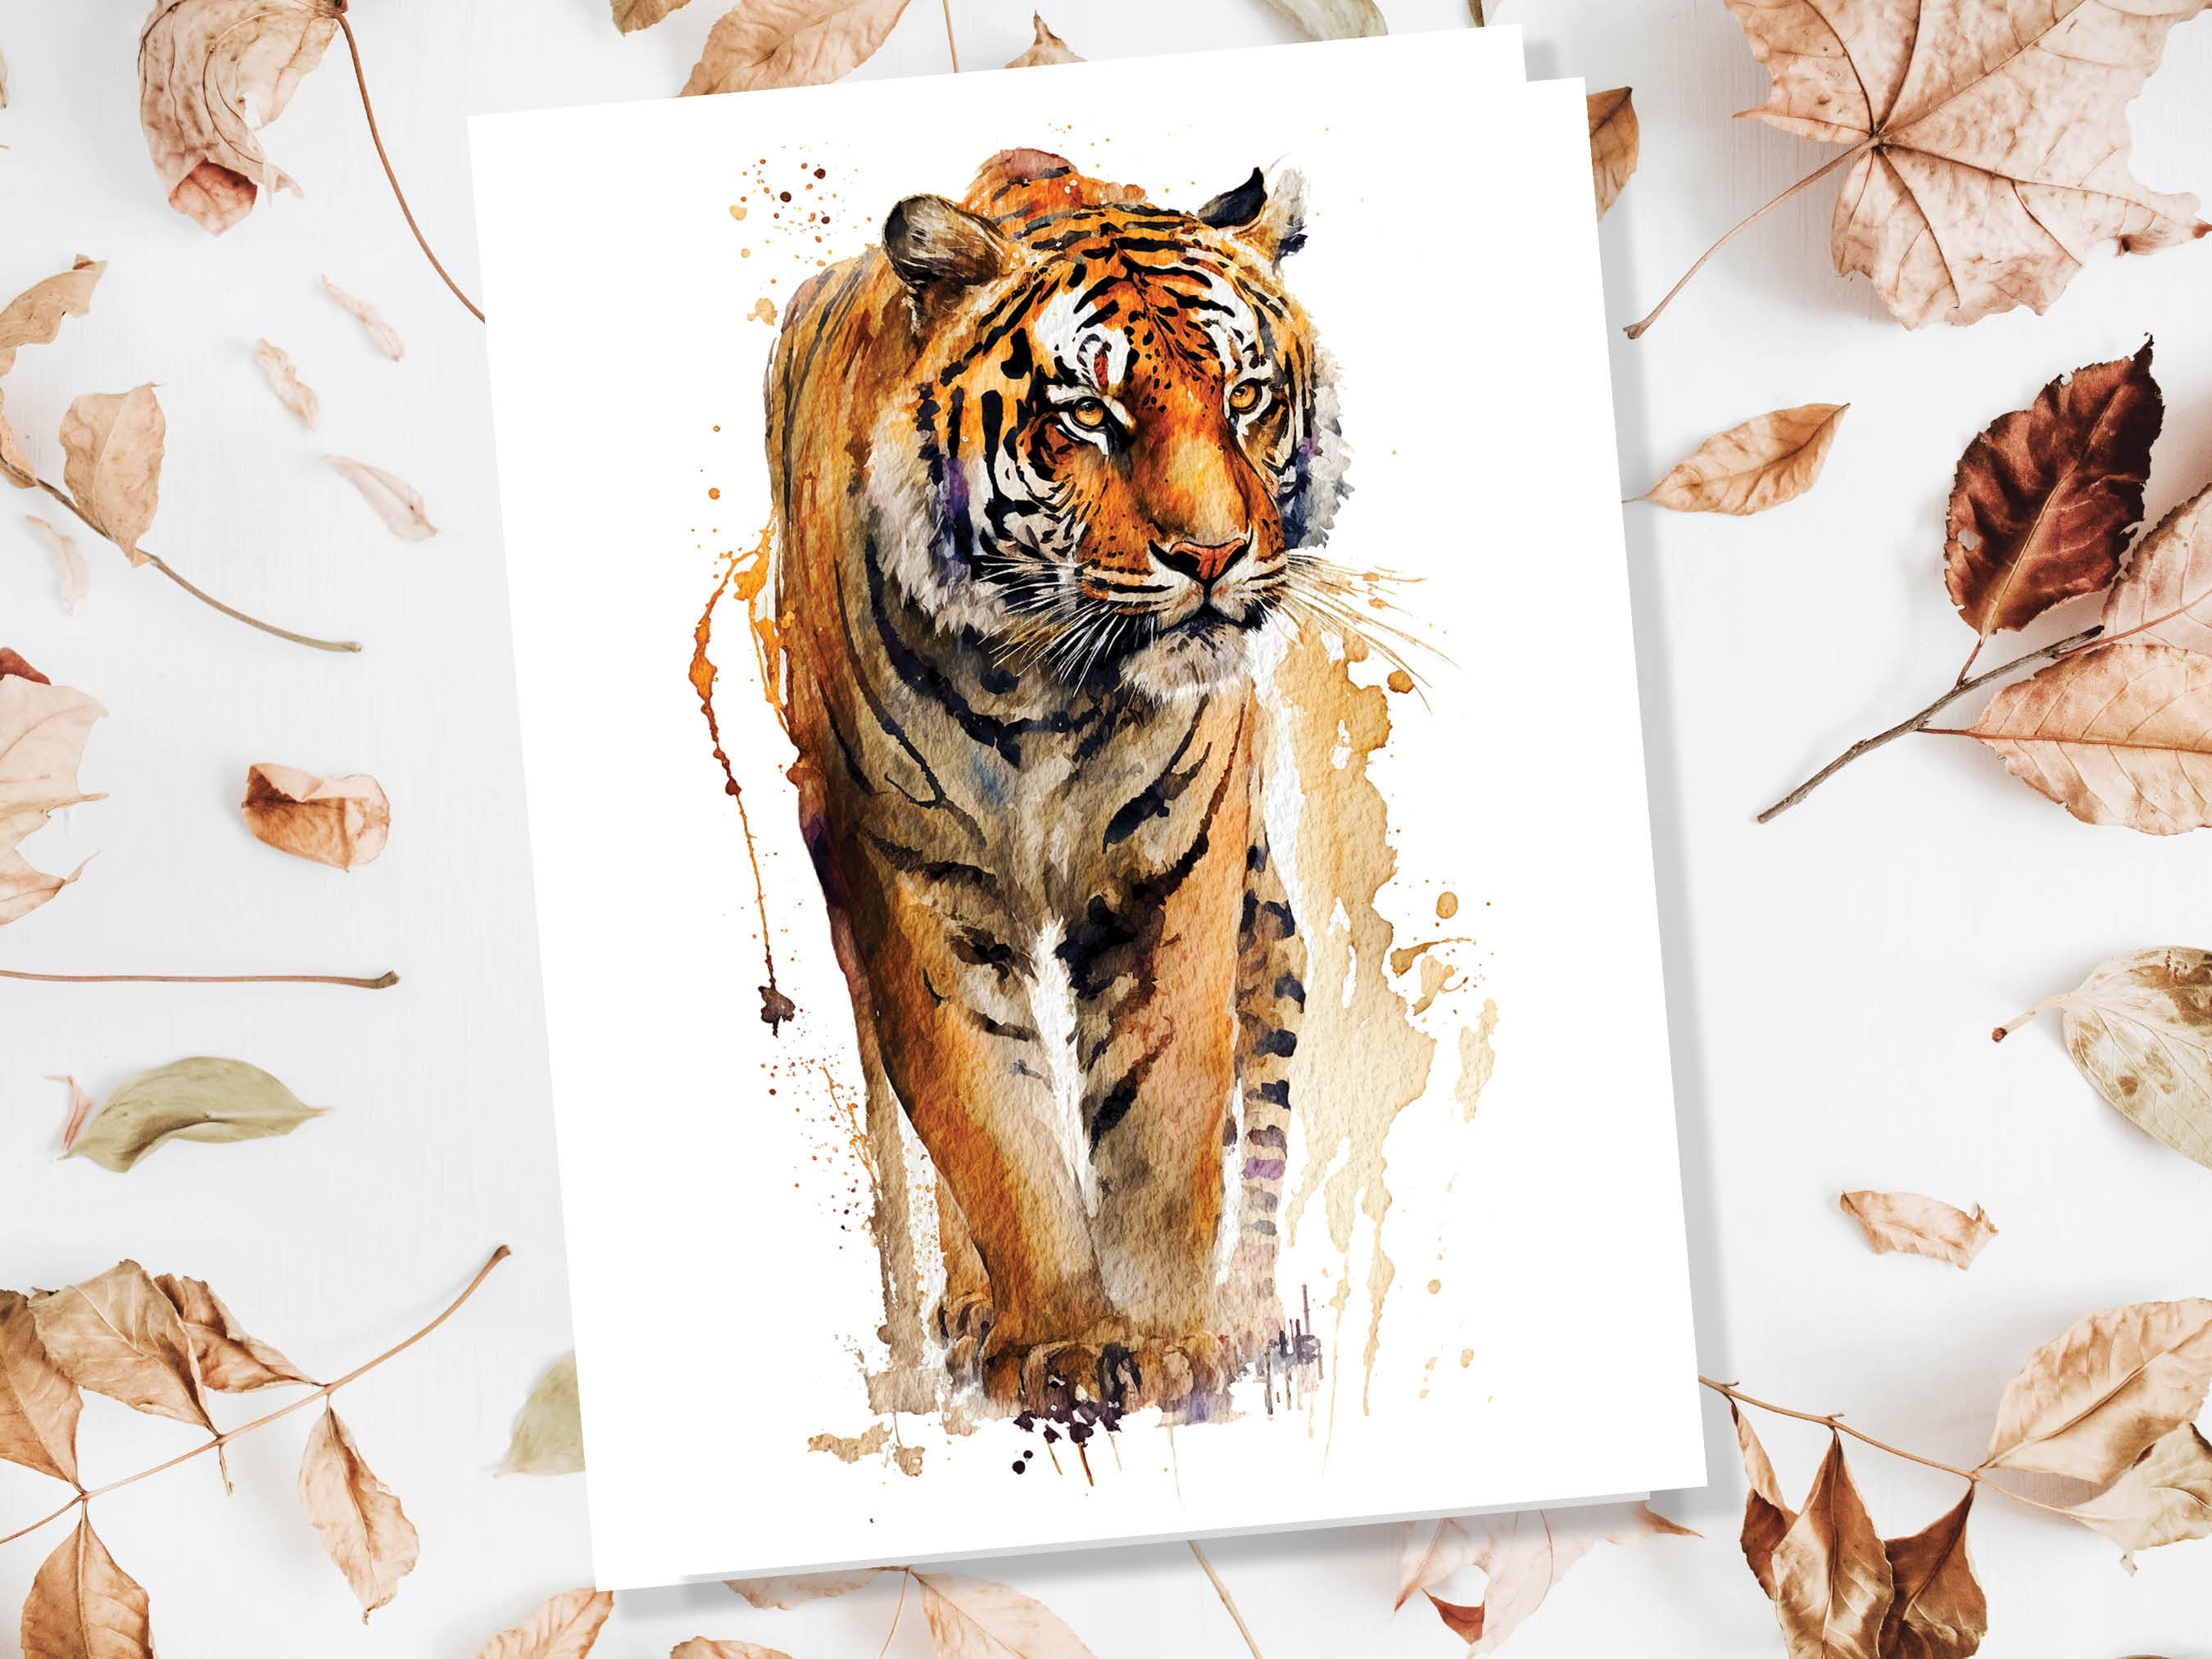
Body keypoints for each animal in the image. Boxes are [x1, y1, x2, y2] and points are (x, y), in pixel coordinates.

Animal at [767, 147, 1349, 1415]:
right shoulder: (908, 881)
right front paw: (1070, 1345)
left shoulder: (1178, 863)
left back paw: (1250, 1320)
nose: (1213, 556)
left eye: (1246, 397)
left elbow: (1168, 1108)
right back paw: (966, 1319)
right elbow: (990, 1119)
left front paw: (1173, 1342)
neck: (1046, 687)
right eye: (1089, 414)